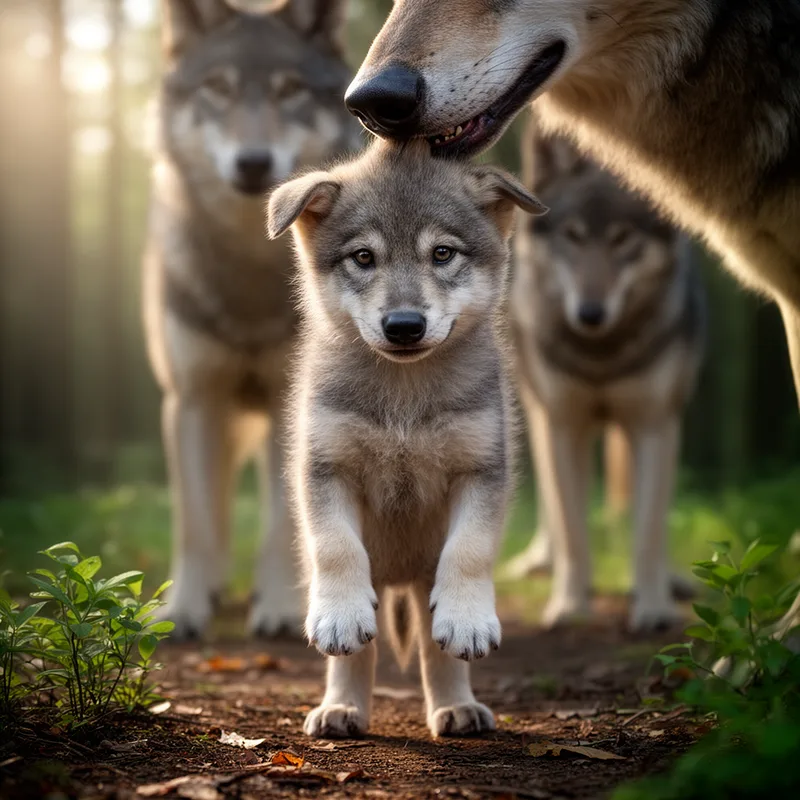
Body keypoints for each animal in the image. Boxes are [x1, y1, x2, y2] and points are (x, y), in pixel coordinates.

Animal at [142, 0, 361, 639]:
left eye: (290, 90)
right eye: (218, 88)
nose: (253, 162)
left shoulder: (295, 408)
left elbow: (283, 524)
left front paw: (282, 610)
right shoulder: (190, 399)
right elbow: (193, 522)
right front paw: (183, 611)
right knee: (213, 504)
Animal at [266, 138, 545, 738]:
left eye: (442, 254)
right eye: (363, 257)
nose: (403, 325)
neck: (404, 399)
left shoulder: (482, 468)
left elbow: (470, 552)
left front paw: (469, 618)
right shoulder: (324, 468)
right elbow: (336, 549)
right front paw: (339, 614)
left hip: (422, 579)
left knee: (436, 648)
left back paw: (457, 707)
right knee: (359, 648)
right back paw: (342, 707)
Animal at [506, 118, 705, 632]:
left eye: (622, 238)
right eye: (573, 236)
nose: (590, 314)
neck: (602, 357)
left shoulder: (655, 426)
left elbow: (649, 529)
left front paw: (654, 607)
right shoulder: (563, 426)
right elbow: (573, 531)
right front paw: (570, 605)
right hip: (535, 412)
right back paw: (540, 560)